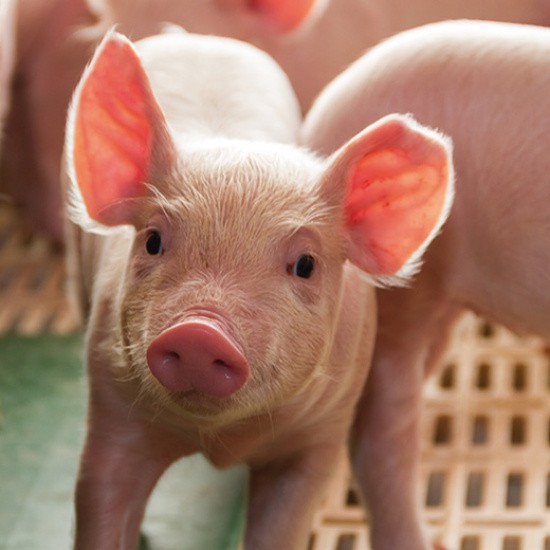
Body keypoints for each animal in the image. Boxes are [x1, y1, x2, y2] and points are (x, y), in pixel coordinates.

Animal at [66, 28, 452, 548]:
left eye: (305, 265)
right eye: (152, 240)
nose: (199, 331)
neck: (220, 441)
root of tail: (194, 37)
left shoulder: (320, 437)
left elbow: (282, 525)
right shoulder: (111, 406)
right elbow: (99, 497)